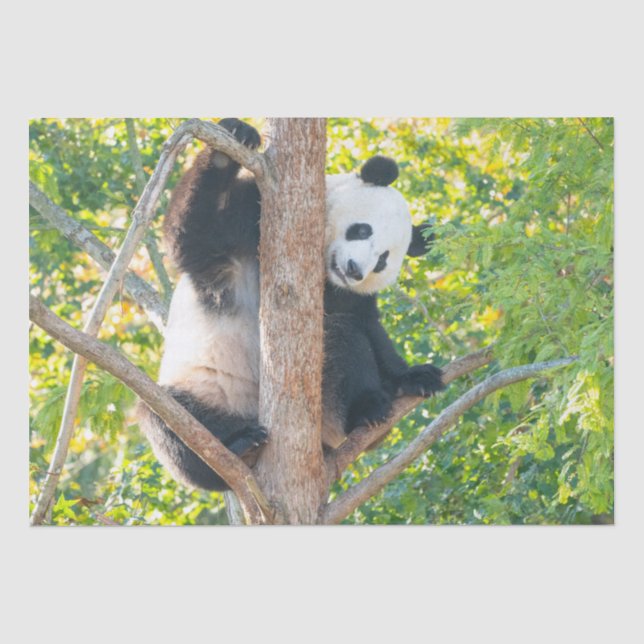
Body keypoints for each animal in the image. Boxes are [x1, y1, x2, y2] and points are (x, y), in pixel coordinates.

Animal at [138, 118, 444, 491]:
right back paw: (236, 445)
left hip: (325, 411)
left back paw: (367, 411)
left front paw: (416, 376)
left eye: (383, 260)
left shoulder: (348, 295)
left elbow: (366, 327)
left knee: (341, 339)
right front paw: (237, 137)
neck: (323, 271)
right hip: (206, 391)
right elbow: (192, 235)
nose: (354, 270)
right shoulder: (251, 219)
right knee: (165, 419)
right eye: (362, 230)